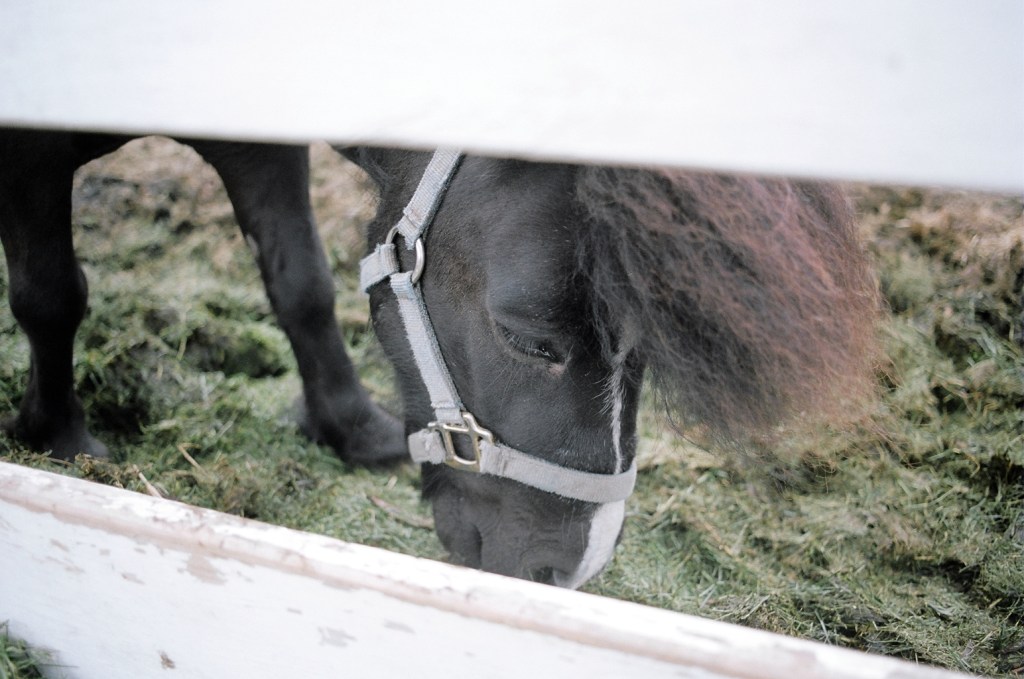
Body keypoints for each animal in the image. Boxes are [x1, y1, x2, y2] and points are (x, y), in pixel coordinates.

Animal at [0, 129, 879, 589]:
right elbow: (52, 295)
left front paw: (353, 428)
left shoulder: (257, 143)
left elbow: (302, 281)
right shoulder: (31, 159)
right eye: (528, 339)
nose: (572, 570)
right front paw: (62, 442)